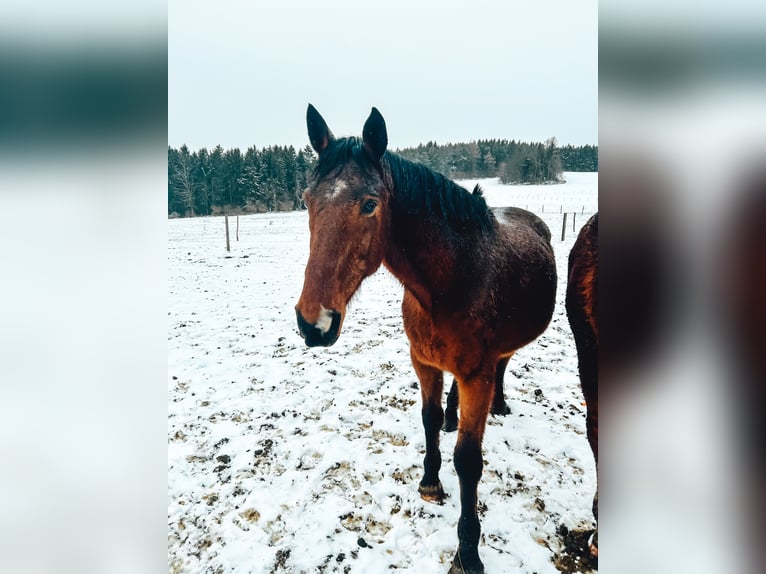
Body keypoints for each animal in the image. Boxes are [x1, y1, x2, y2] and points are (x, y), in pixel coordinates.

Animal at [295, 104, 557, 574]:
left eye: (370, 204)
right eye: (307, 201)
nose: (313, 323)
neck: (454, 280)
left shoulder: (477, 375)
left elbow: (468, 461)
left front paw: (468, 552)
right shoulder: (423, 362)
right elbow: (430, 420)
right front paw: (431, 481)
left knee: (506, 363)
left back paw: (501, 403)